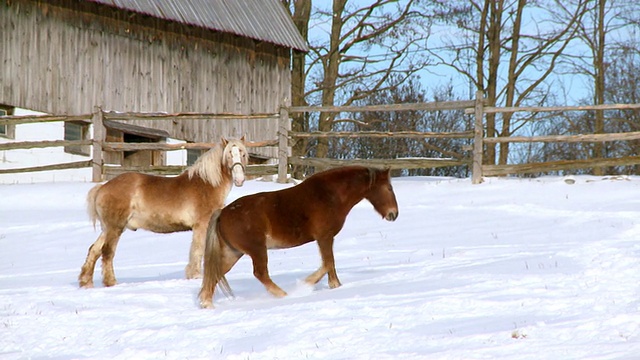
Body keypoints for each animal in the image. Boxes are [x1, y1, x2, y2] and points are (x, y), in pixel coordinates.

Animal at [79, 136, 249, 288]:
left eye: (243, 154)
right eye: (229, 154)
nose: (240, 179)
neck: (206, 185)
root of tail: (102, 187)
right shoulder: (201, 226)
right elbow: (198, 250)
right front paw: (195, 276)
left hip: (107, 228)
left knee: (94, 250)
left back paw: (86, 282)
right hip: (115, 228)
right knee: (107, 252)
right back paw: (111, 283)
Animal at [199, 165, 400, 308]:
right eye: (389, 188)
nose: (394, 214)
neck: (330, 195)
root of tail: (222, 213)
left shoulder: (327, 239)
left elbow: (330, 265)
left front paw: (335, 286)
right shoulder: (324, 237)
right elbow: (328, 263)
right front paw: (307, 283)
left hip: (233, 253)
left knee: (216, 273)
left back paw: (207, 304)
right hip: (257, 250)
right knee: (260, 274)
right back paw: (286, 296)